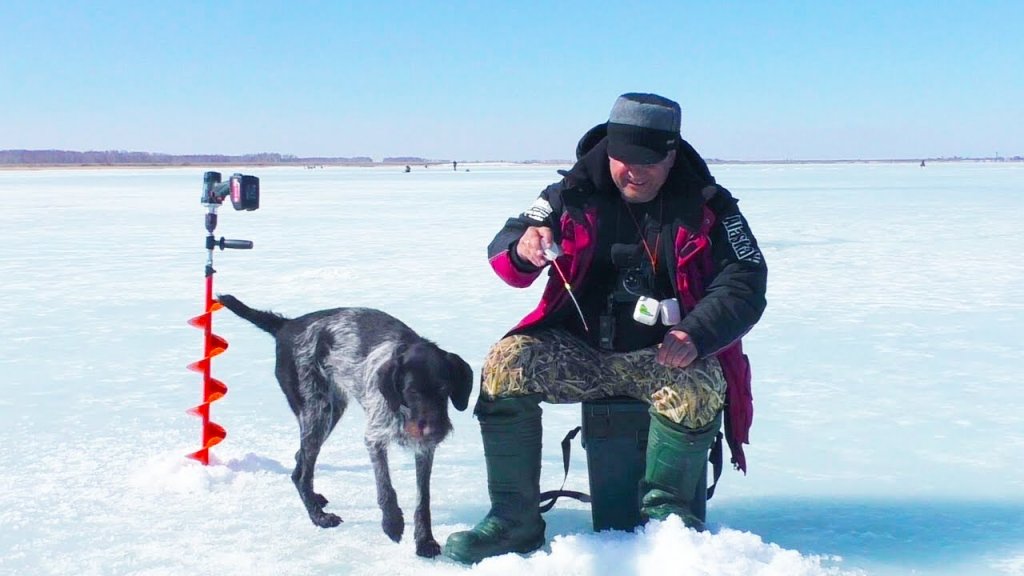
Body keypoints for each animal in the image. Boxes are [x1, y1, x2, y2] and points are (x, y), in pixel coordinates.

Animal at [218, 293, 473, 553]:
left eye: (444, 389)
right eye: (411, 391)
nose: (435, 430)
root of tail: (286, 325)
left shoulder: (424, 449)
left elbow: (423, 499)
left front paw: (425, 540)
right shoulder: (374, 439)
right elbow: (385, 488)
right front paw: (392, 523)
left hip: (330, 411)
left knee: (300, 461)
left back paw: (315, 499)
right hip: (317, 412)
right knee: (302, 473)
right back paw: (319, 517)